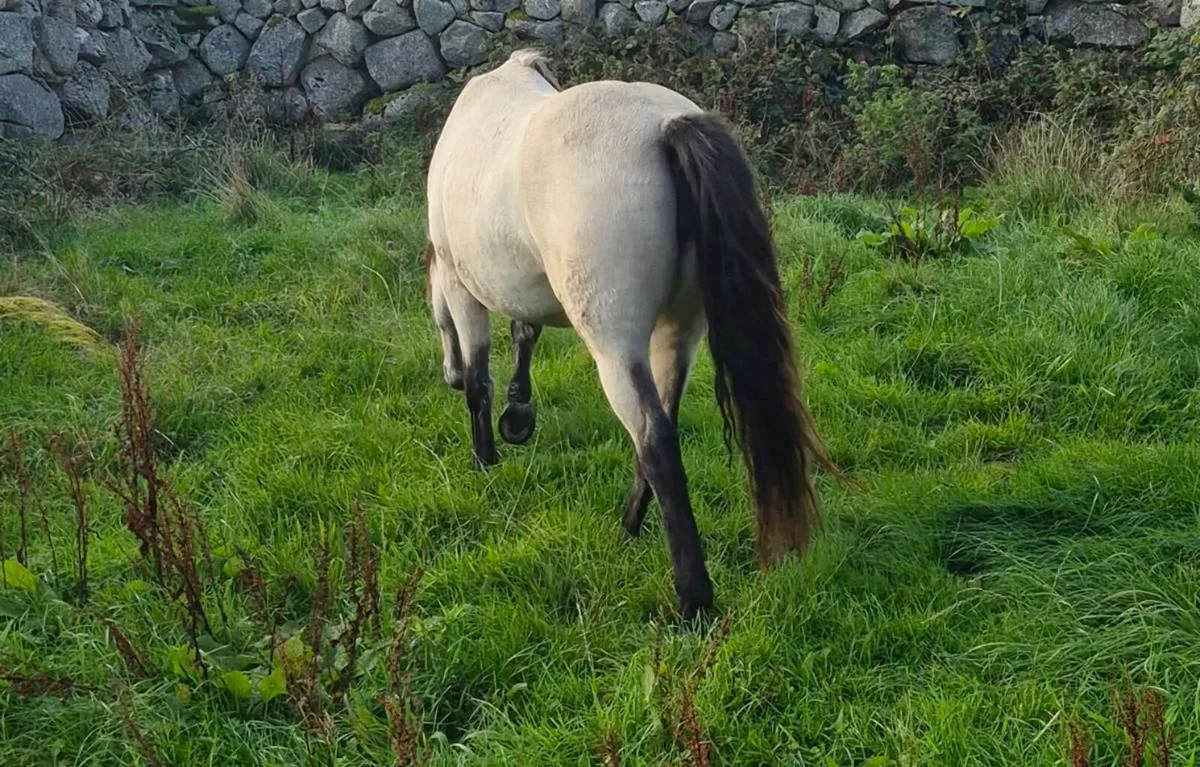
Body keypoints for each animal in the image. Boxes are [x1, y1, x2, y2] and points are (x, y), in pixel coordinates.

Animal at [423, 49, 834, 620]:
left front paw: (485, 457)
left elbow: (481, 379)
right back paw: (629, 528)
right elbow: (524, 332)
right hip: (677, 333)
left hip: (614, 346)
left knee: (655, 440)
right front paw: (518, 414)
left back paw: (692, 600)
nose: (447, 376)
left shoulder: (462, 290)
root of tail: (666, 125)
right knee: (662, 424)